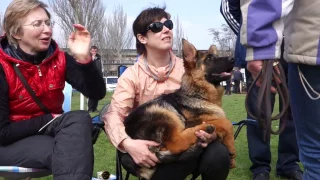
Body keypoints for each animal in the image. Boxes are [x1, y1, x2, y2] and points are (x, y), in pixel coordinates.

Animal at [124, 38, 236, 179]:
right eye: (209, 58)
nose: (233, 58)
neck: (197, 94)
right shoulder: (191, 121)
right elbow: (227, 123)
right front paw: (231, 147)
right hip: (163, 111)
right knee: (177, 143)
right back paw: (204, 128)